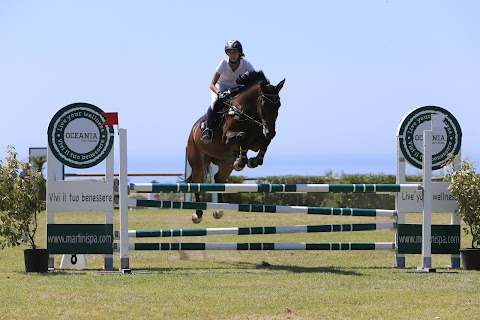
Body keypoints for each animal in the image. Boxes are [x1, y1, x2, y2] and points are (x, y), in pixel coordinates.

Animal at [187, 71, 284, 224]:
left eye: (279, 104)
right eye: (263, 104)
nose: (271, 132)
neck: (247, 113)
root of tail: (192, 131)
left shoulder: (256, 142)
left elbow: (264, 142)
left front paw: (253, 161)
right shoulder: (227, 138)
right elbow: (242, 137)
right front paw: (241, 161)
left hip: (225, 163)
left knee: (219, 178)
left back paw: (218, 210)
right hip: (197, 160)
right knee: (196, 181)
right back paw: (198, 214)